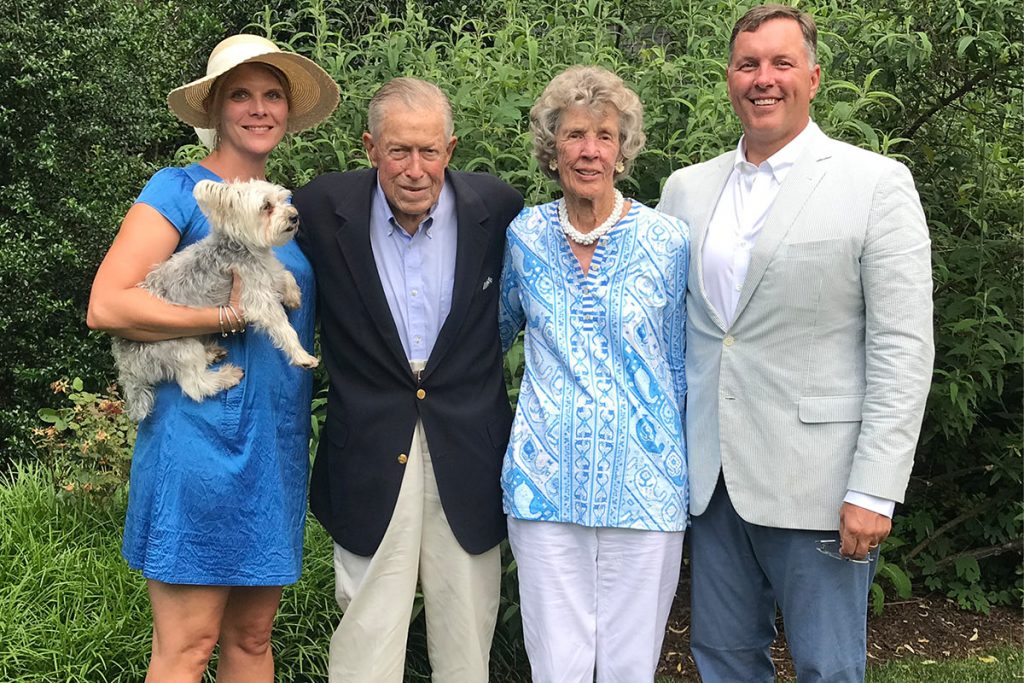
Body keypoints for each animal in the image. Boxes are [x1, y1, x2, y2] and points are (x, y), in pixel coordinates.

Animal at [114, 178, 317, 421]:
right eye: (266, 206)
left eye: (282, 199)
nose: (294, 216)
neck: (244, 247)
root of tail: (125, 361)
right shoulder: (258, 299)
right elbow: (284, 328)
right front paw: (302, 355)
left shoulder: (267, 275)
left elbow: (284, 275)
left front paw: (292, 295)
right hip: (180, 346)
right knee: (195, 385)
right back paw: (226, 376)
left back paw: (211, 353)